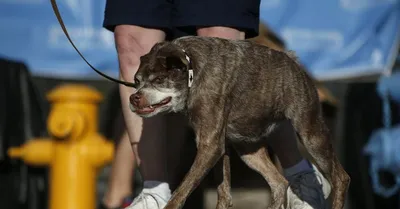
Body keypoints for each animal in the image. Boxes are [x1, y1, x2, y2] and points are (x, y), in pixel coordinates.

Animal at [129, 36, 350, 209]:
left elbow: (181, 191)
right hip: (247, 149)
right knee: (279, 182)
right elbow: (224, 192)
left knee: (341, 178)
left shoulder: (210, 146)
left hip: (311, 135)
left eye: (159, 80)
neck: (192, 68)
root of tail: (295, 63)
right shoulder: (216, 145)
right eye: (137, 81)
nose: (134, 98)